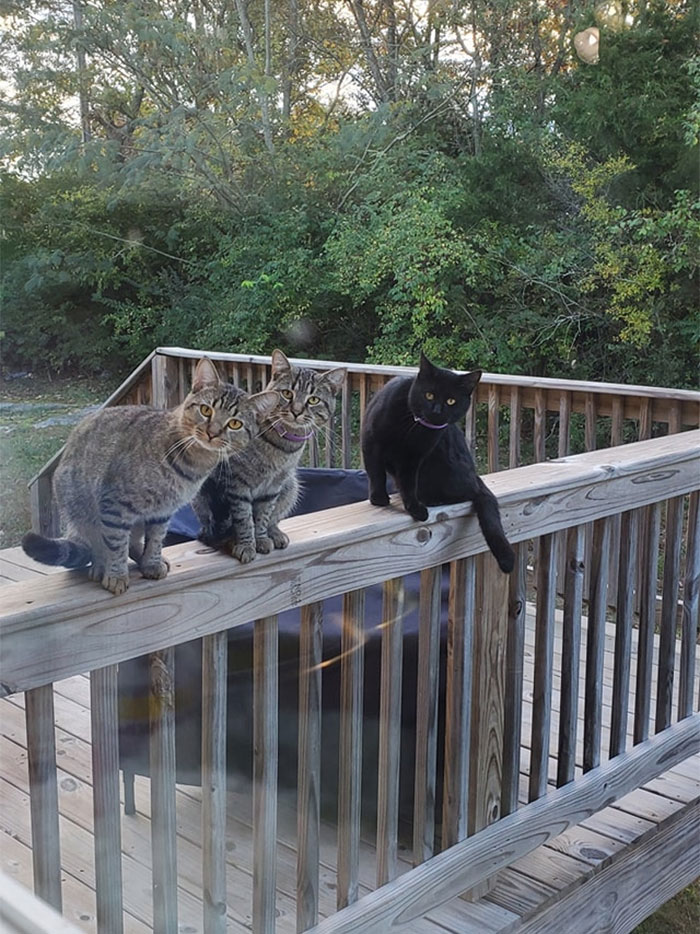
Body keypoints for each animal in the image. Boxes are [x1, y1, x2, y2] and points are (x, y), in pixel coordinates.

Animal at [21, 362, 276, 596]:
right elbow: (115, 544)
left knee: (133, 542)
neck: (192, 466)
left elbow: (155, 539)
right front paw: (116, 574)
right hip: (81, 509)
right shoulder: (114, 504)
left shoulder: (162, 512)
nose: (212, 433)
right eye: (206, 410)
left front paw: (151, 563)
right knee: (98, 543)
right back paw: (100, 566)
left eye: (235, 423)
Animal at [193, 350, 346, 564]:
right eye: (287, 393)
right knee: (213, 531)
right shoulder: (237, 484)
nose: (296, 411)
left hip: (291, 486)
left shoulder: (274, 485)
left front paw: (262, 538)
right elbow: (244, 518)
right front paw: (247, 545)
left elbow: (263, 516)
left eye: (313, 400)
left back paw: (275, 533)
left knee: (274, 517)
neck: (283, 447)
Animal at [360, 352, 516, 572]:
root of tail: (477, 476)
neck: (412, 428)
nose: (436, 410)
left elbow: (409, 483)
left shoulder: (414, 458)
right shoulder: (371, 442)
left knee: (468, 492)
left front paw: (414, 507)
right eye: (429, 395)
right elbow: (376, 473)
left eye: (451, 401)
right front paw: (378, 498)